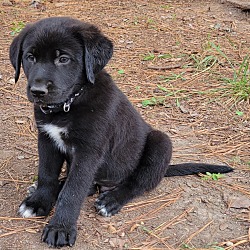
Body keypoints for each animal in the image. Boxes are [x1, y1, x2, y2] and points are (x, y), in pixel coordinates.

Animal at [9, 16, 232, 247]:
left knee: (137, 182)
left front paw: (60, 227)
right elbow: (47, 174)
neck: (69, 104)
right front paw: (38, 201)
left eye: (63, 59)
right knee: (88, 185)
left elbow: (73, 191)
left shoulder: (89, 152)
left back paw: (112, 200)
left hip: (161, 142)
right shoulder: (46, 139)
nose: (38, 91)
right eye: (30, 57)